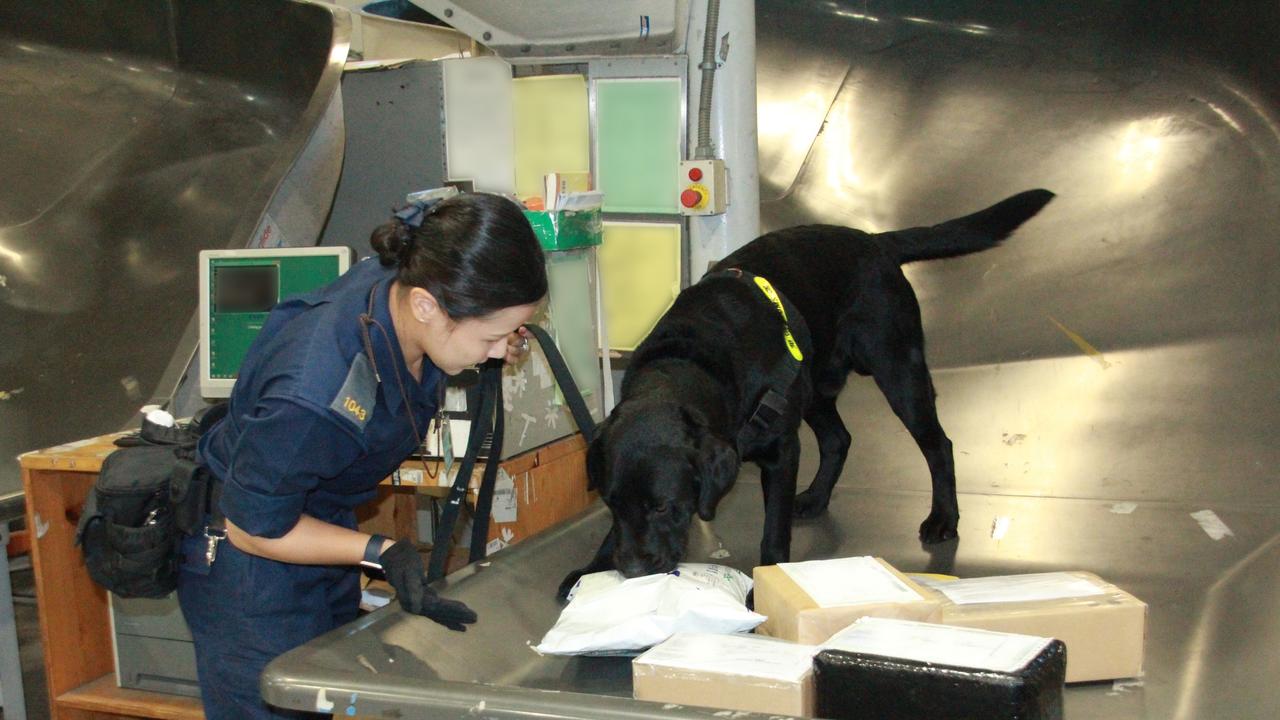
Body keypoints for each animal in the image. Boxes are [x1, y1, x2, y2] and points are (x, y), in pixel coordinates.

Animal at [558, 189, 1049, 594]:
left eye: (663, 506)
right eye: (610, 503)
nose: (632, 570)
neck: (692, 358)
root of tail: (875, 241)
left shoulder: (781, 451)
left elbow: (774, 531)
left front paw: (767, 580)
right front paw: (593, 566)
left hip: (898, 372)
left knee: (938, 445)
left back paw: (943, 517)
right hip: (812, 387)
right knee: (839, 438)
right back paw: (815, 497)